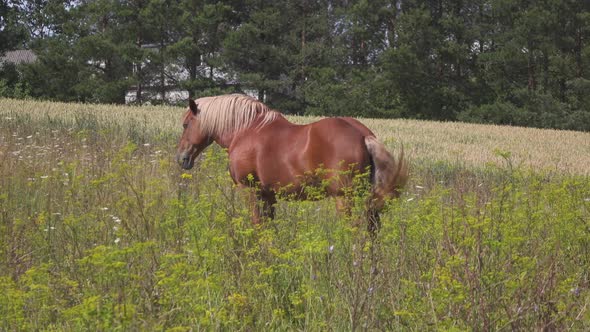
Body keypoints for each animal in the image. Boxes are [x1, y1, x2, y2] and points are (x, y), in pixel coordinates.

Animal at [173, 92, 410, 230]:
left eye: (186, 124)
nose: (182, 157)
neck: (246, 129)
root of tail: (363, 135)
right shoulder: (269, 195)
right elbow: (269, 228)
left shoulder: (250, 191)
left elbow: (257, 225)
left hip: (345, 198)